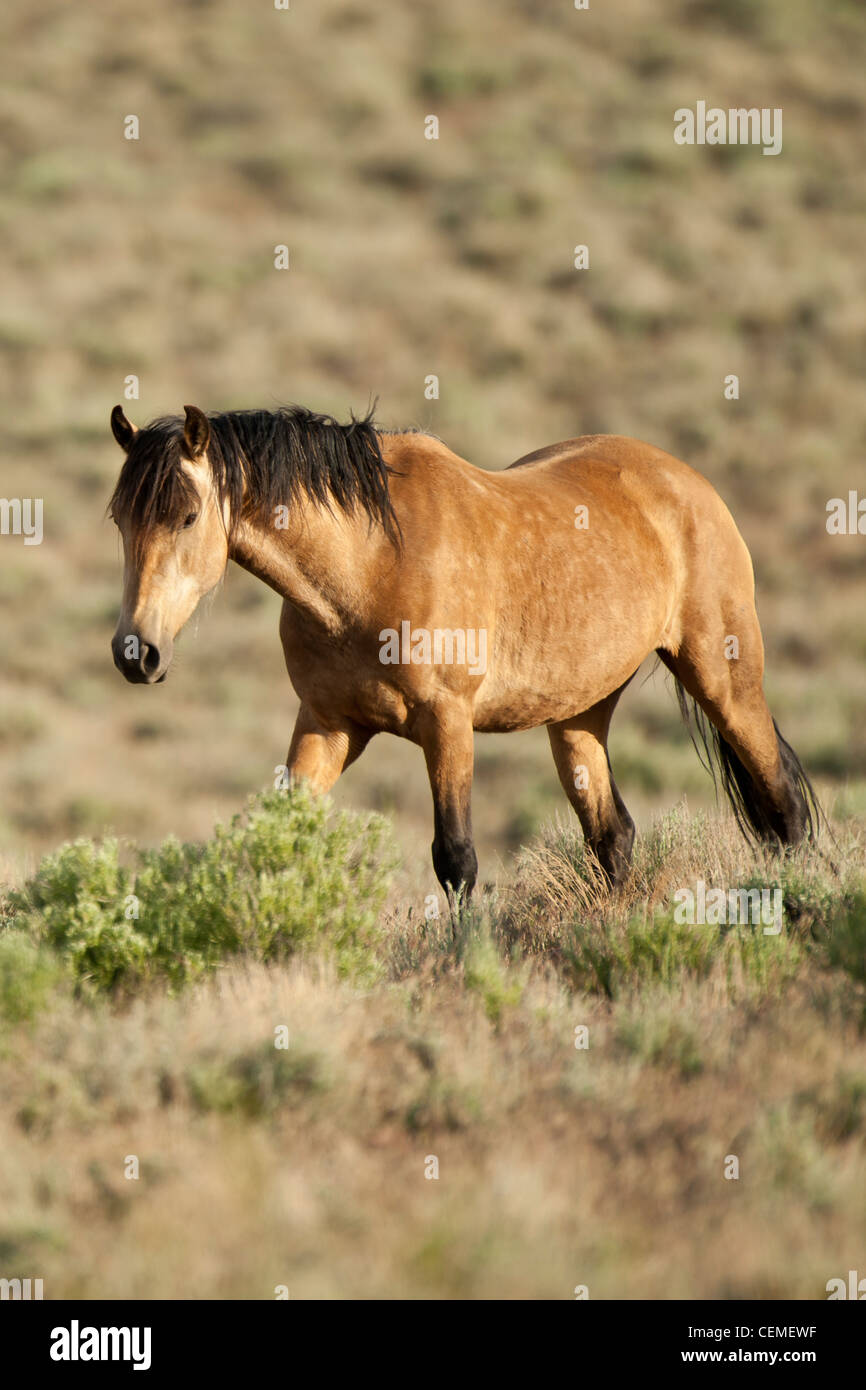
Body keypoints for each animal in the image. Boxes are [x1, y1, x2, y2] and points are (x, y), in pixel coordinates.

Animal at [108, 402, 820, 897]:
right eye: (120, 519)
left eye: (188, 517)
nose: (135, 654)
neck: (371, 563)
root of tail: (689, 482)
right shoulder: (327, 726)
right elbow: (280, 844)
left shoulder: (447, 724)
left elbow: (456, 859)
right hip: (579, 716)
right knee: (612, 837)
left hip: (724, 681)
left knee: (783, 803)